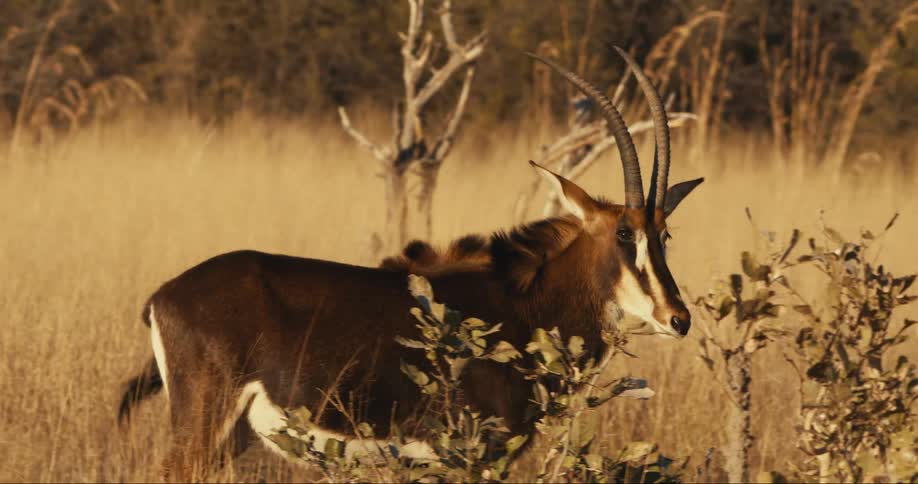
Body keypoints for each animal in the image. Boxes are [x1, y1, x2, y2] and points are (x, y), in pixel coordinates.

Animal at [118, 47, 703, 481]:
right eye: (624, 233)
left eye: (666, 234)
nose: (678, 318)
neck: (524, 302)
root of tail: (162, 296)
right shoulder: (475, 455)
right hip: (202, 423)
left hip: (230, 434)